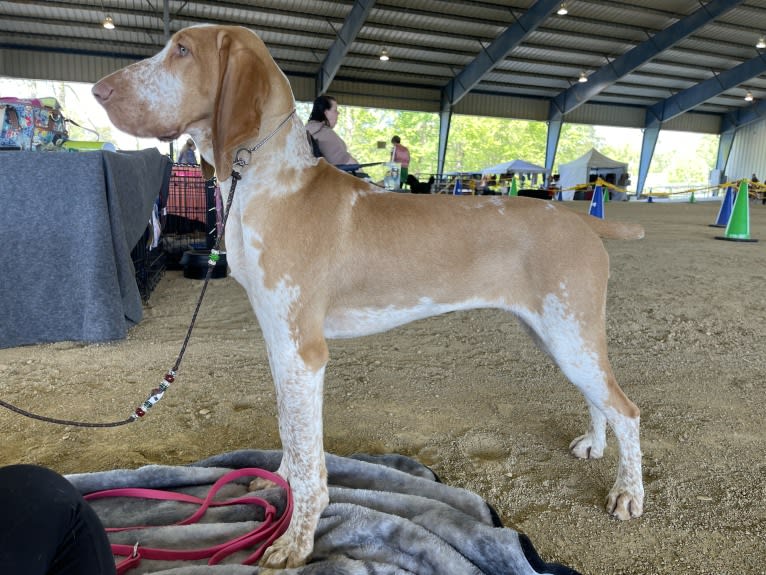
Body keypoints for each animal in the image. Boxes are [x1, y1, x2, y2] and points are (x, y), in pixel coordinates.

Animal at [94, 24, 648, 568]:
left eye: (183, 50)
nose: (99, 91)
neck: (272, 182)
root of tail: (577, 218)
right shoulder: (279, 344)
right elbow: (290, 433)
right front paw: (278, 481)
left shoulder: (304, 353)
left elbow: (311, 463)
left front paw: (296, 539)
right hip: (557, 336)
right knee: (598, 397)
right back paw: (595, 445)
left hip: (569, 334)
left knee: (626, 409)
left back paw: (628, 493)